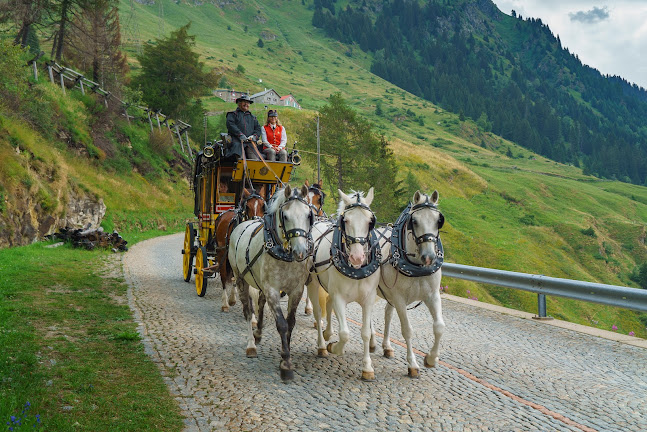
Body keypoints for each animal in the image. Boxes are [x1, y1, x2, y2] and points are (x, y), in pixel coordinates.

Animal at [229, 184, 316, 380]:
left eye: (309, 215)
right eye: (285, 216)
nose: (300, 251)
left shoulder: (296, 290)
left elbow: (291, 323)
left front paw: (286, 353)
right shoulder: (273, 290)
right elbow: (282, 324)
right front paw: (286, 364)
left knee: (260, 303)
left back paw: (259, 333)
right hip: (241, 278)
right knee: (248, 310)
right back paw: (251, 345)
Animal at [308, 189, 382, 382]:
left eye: (370, 222)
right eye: (346, 220)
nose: (357, 257)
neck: (356, 270)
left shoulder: (368, 299)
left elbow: (365, 332)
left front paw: (367, 367)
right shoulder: (340, 297)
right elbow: (345, 334)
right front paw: (334, 347)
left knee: (328, 305)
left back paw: (327, 333)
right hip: (312, 283)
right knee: (318, 312)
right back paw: (322, 345)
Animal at [374, 191, 446, 376]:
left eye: (439, 220)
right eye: (414, 221)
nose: (429, 257)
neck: (417, 267)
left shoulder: (433, 295)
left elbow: (439, 327)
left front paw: (431, 359)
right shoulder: (399, 299)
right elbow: (407, 330)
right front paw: (412, 364)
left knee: (387, 314)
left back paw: (386, 347)